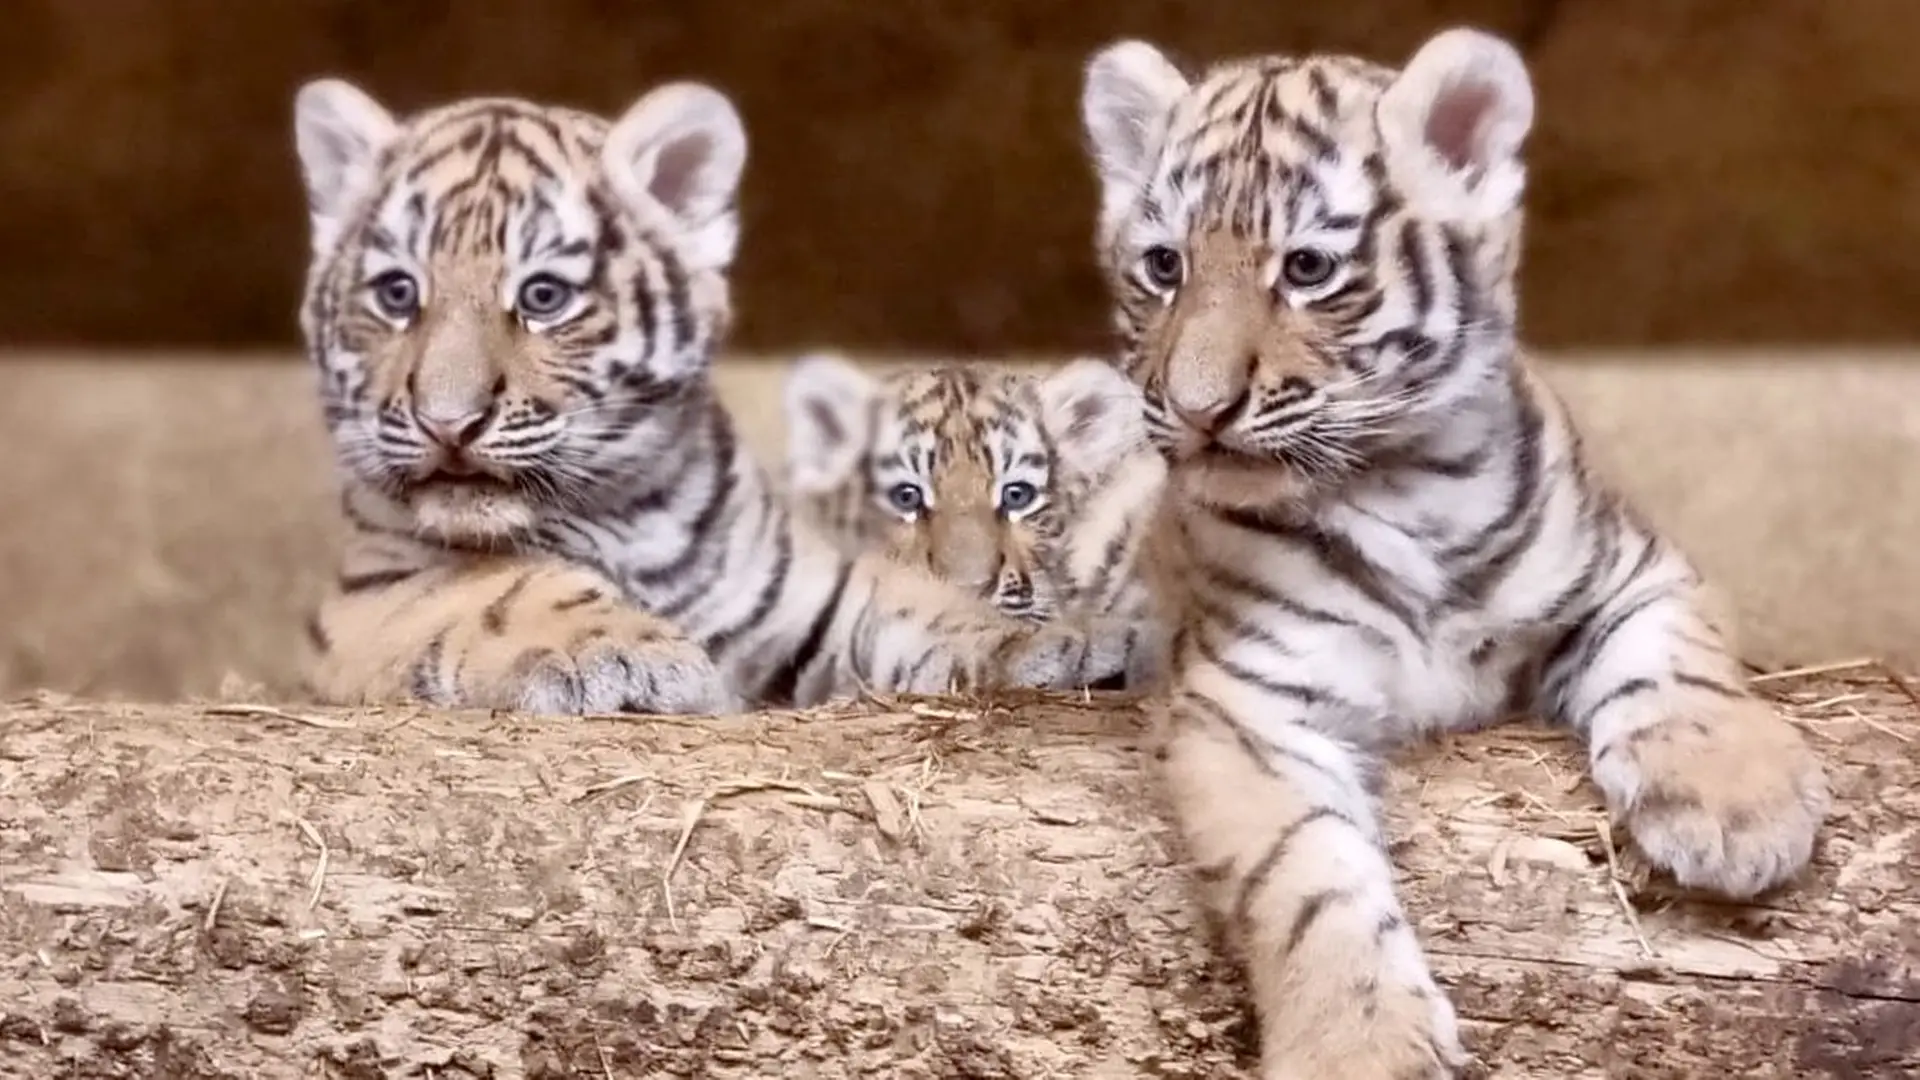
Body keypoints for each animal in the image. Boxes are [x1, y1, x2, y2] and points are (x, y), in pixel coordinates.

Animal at [1076, 26, 1830, 1077]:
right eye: (1163, 266)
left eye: (1306, 269)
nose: (1195, 409)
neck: (1405, 488)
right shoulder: (1247, 703)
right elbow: (1303, 875)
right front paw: (1356, 1046)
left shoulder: (1635, 569)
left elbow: (1680, 668)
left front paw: (1737, 807)